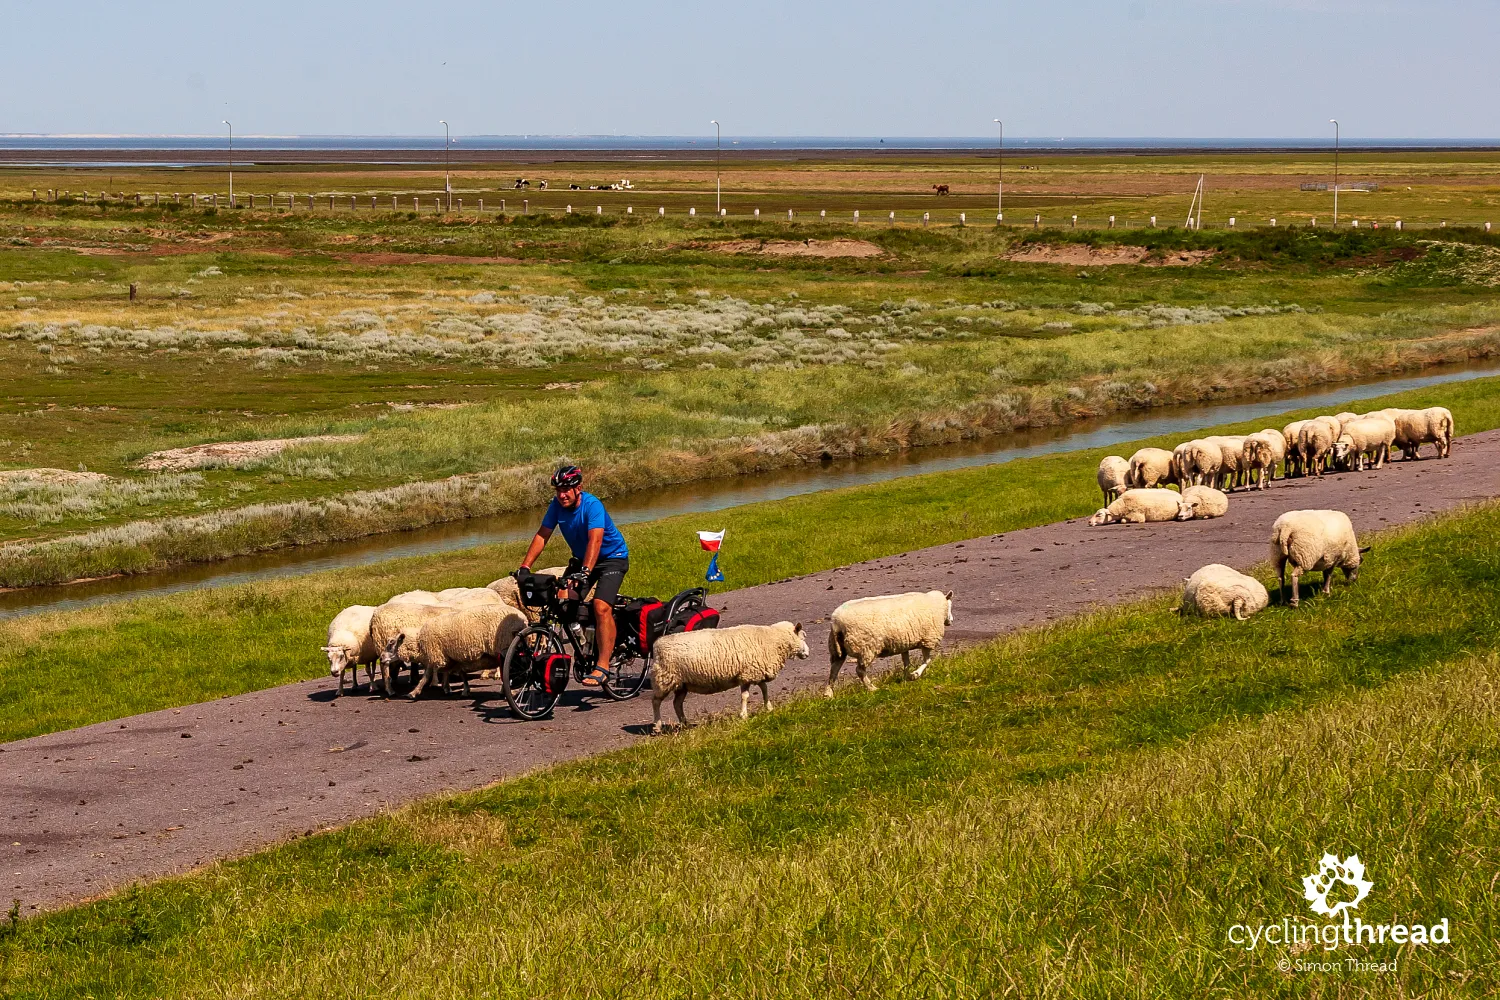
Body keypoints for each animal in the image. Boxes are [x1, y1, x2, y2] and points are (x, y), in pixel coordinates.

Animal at [405, 605, 534, 701]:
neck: (419, 643)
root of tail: (523, 620)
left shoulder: (436, 654)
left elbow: (426, 675)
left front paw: (414, 692)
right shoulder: (453, 657)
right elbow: (458, 673)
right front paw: (453, 689)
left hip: (506, 647)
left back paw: (509, 692)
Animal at [648, 617, 810, 734]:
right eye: (803, 638)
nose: (808, 654)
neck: (773, 640)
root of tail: (657, 645)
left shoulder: (755, 672)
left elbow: (764, 689)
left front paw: (768, 707)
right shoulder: (747, 673)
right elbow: (745, 696)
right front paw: (744, 715)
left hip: (682, 684)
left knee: (677, 703)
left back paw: (685, 723)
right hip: (664, 678)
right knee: (656, 701)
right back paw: (657, 726)